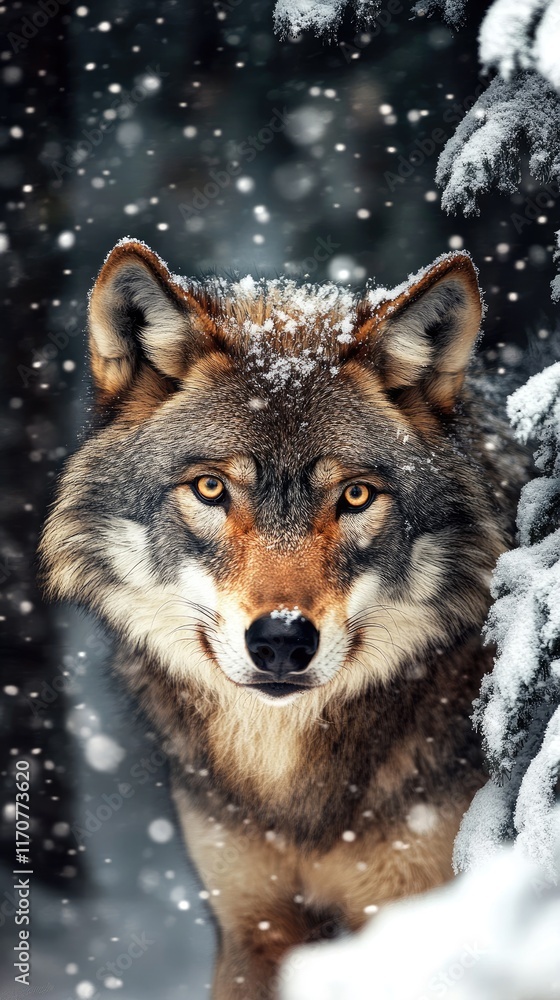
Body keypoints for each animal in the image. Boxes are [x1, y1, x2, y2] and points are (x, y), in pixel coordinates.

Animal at [40, 239, 528, 999]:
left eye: (355, 496)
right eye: (211, 488)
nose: (281, 640)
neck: (290, 793)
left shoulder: (416, 923)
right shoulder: (252, 928)